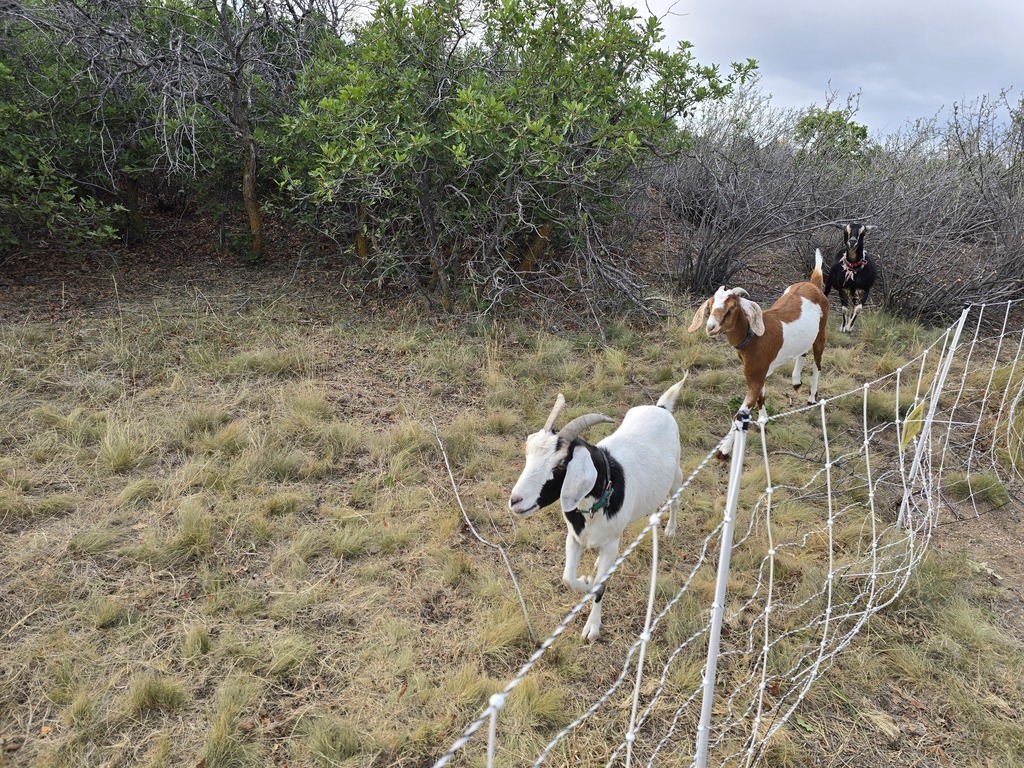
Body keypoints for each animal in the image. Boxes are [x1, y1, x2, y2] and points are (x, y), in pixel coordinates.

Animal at [508, 378, 687, 642]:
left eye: (560, 465)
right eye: (527, 452)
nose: (516, 501)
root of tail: (661, 408)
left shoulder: (612, 544)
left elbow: (601, 587)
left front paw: (592, 628)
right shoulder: (574, 538)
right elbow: (568, 578)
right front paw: (585, 580)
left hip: (675, 474)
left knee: (675, 499)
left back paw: (672, 530)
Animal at [688, 249, 828, 458]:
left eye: (731, 309)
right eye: (710, 306)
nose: (710, 327)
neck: (754, 338)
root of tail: (813, 284)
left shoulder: (756, 375)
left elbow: (740, 414)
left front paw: (723, 450)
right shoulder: (758, 373)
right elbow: (761, 397)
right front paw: (764, 419)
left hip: (821, 333)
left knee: (818, 362)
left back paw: (811, 397)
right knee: (803, 352)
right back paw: (796, 381)